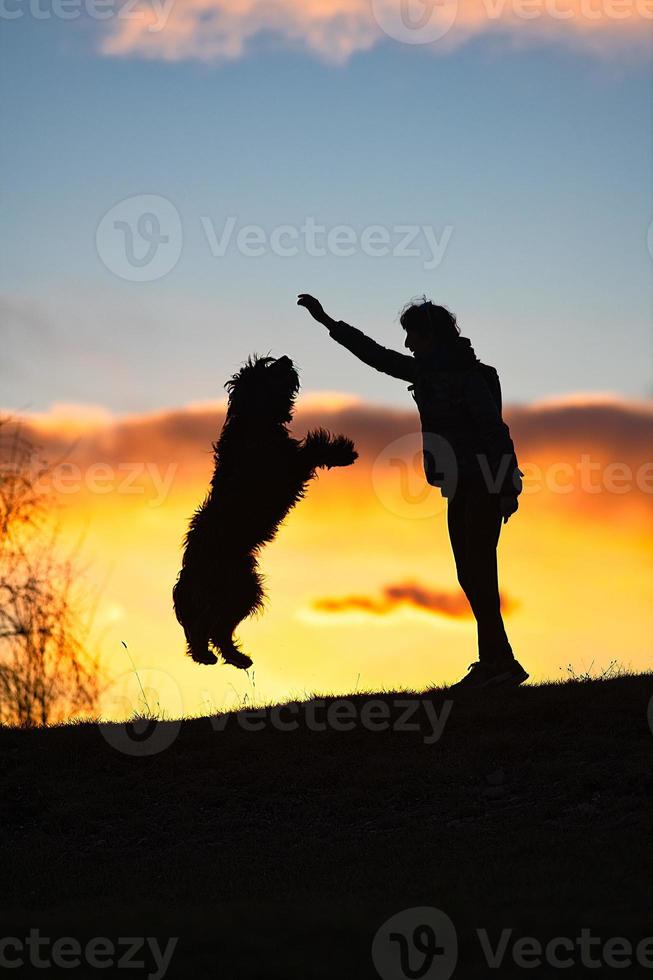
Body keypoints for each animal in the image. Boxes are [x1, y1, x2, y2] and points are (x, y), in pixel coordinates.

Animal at [173, 356, 356, 668]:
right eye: (264, 370)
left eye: (265, 362)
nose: (286, 359)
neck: (254, 422)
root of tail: (188, 573)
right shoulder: (284, 467)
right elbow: (313, 448)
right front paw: (343, 452)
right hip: (236, 587)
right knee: (206, 626)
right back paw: (209, 654)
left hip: (243, 588)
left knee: (217, 629)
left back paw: (232, 657)